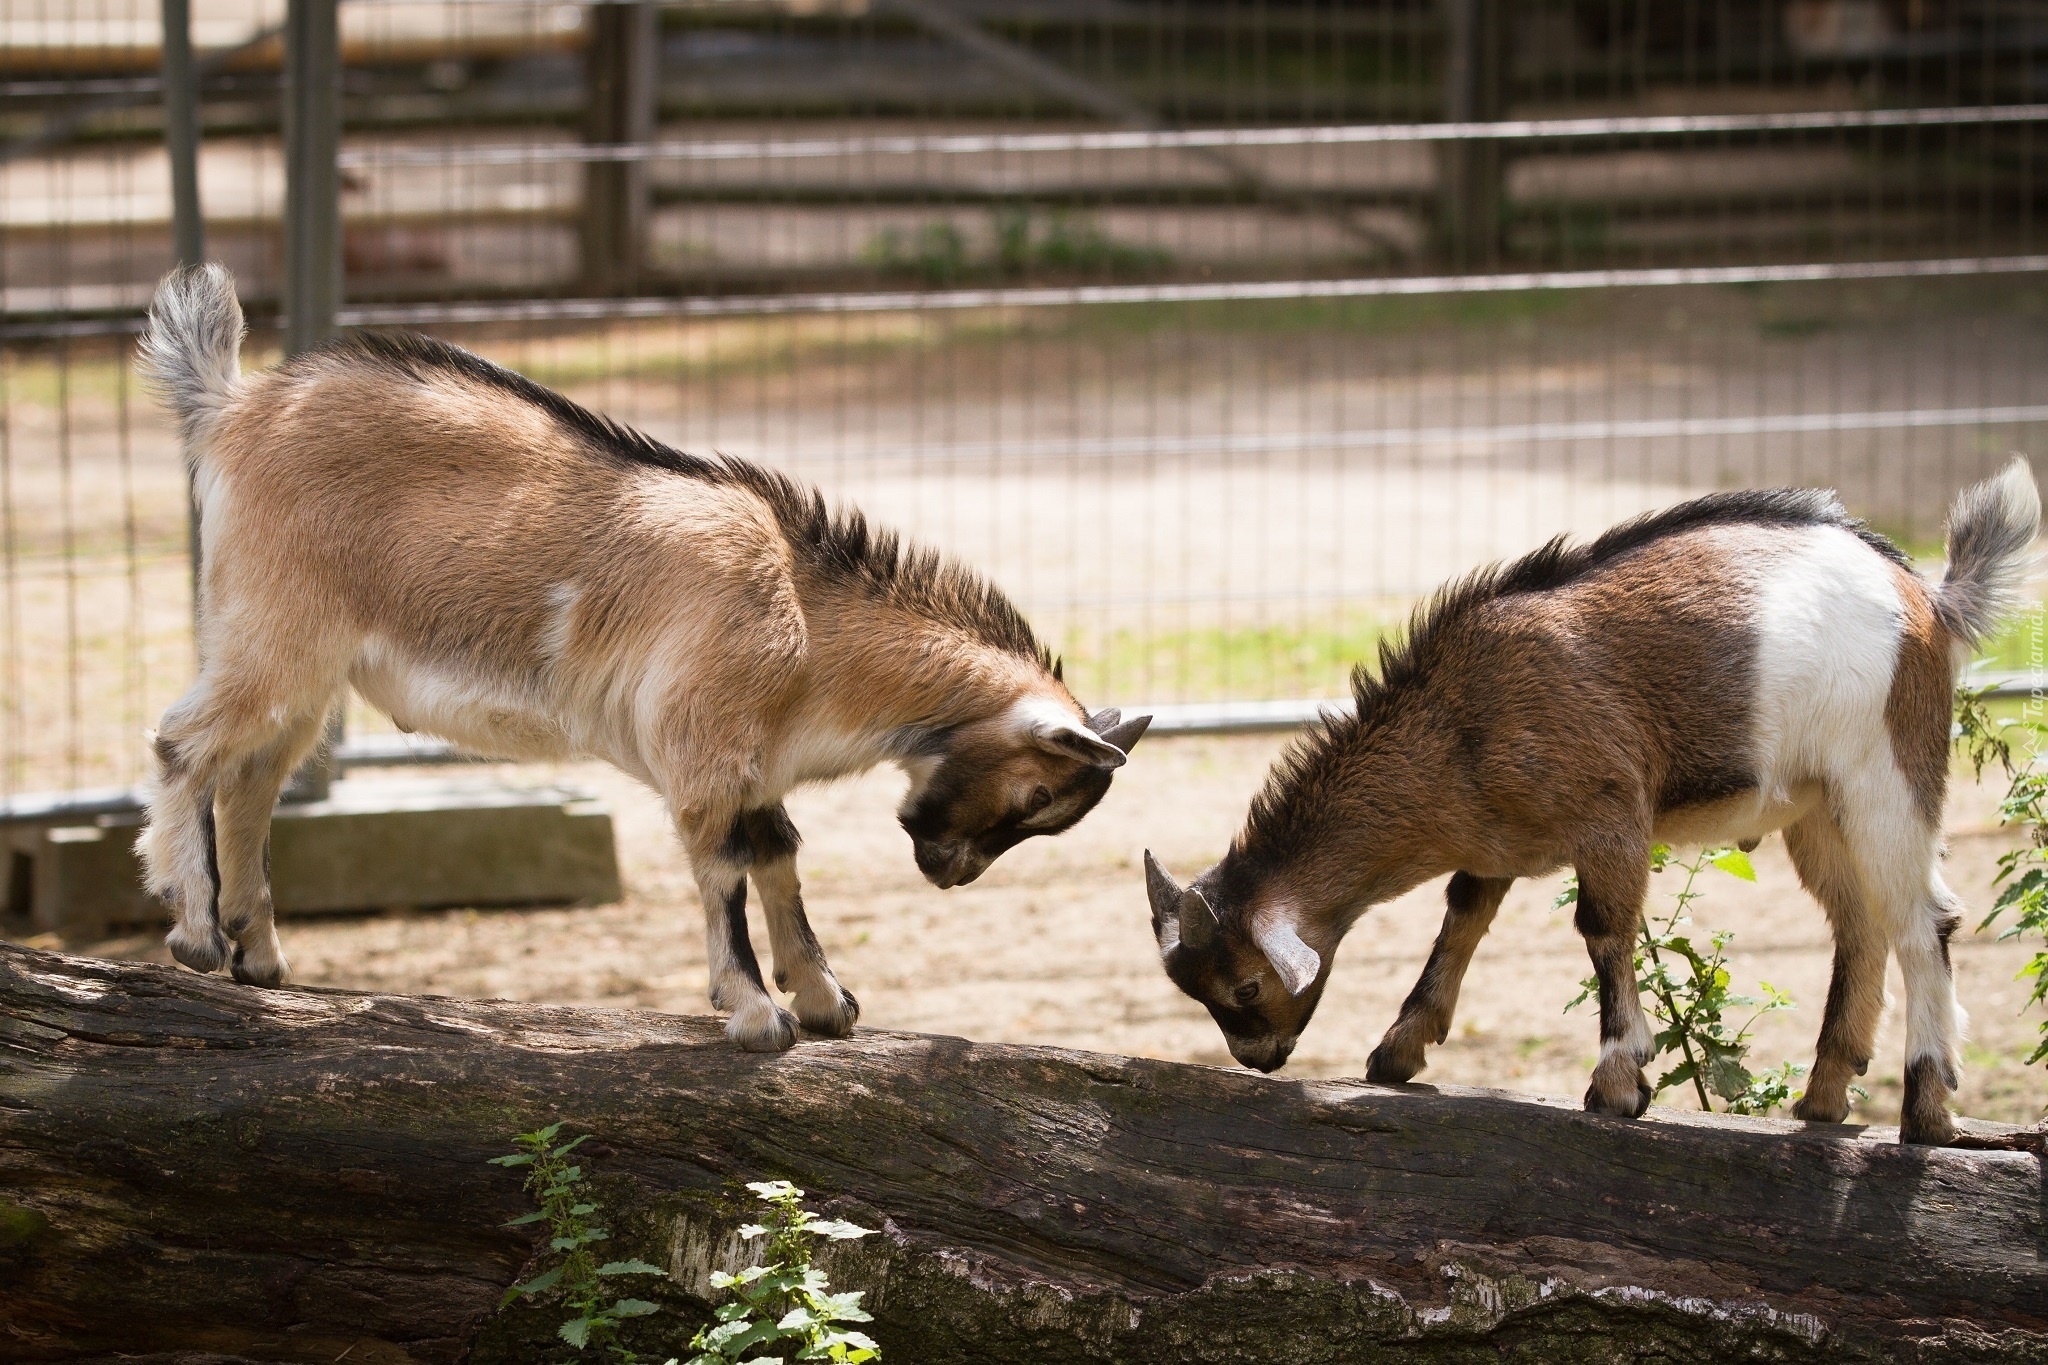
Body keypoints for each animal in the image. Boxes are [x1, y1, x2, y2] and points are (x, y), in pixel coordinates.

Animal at [134, 270, 1146, 1055]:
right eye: (1034, 795)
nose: (947, 871)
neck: (805, 615)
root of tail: (234, 408)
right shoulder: (703, 749)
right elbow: (725, 868)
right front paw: (756, 1012)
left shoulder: (752, 761)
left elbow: (779, 857)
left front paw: (827, 1000)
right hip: (274, 632)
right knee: (182, 743)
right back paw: (195, 931)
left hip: (305, 672)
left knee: (252, 778)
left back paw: (260, 955)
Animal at [1146, 464, 2039, 1146]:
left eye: (1245, 987)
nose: (1259, 1057)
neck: (1460, 717)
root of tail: (1928, 597)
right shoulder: (1496, 838)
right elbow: (1462, 917)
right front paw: (1399, 1050)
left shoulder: (1612, 813)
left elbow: (1603, 929)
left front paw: (1617, 1082)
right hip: (1818, 806)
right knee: (1860, 923)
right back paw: (1821, 1099)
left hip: (1886, 769)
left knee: (1924, 921)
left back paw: (1926, 1109)